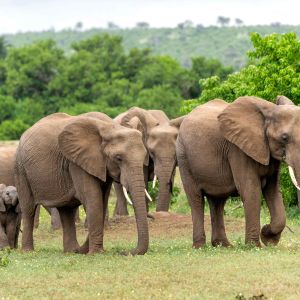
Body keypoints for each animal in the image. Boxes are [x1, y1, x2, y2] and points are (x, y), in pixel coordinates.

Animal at [15, 111, 149, 254]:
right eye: (118, 158)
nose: (125, 252)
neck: (110, 127)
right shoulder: (77, 162)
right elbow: (93, 199)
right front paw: (96, 253)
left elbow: (102, 200)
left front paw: (92, 251)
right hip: (21, 169)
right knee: (29, 209)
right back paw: (28, 251)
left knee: (67, 211)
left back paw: (71, 251)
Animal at [177, 96, 298, 248]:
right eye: (284, 137)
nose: (265, 230)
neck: (269, 110)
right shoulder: (237, 149)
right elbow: (251, 190)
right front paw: (254, 246)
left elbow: (273, 191)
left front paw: (268, 239)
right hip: (184, 157)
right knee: (196, 199)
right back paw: (200, 247)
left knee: (217, 201)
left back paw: (223, 245)